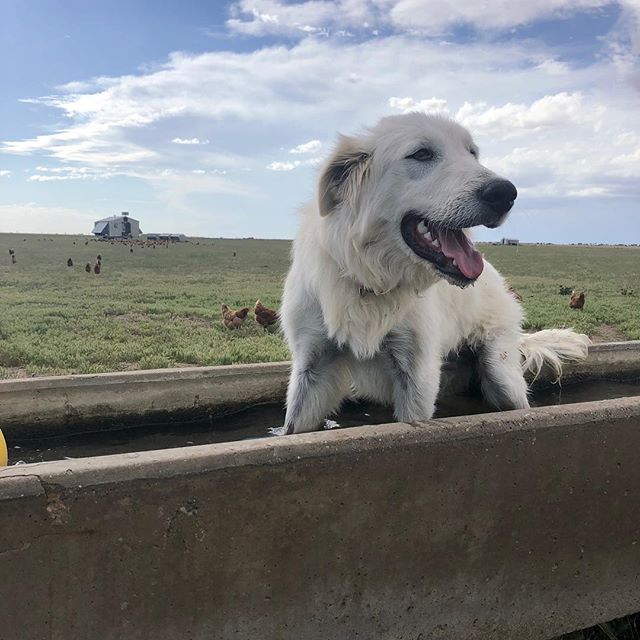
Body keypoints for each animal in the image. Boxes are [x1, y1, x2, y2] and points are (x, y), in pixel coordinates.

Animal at [280, 114, 592, 436]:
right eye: (421, 154)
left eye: (472, 153)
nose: (505, 193)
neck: (373, 280)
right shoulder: (312, 368)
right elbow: (292, 429)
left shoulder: (417, 375)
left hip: (501, 373)